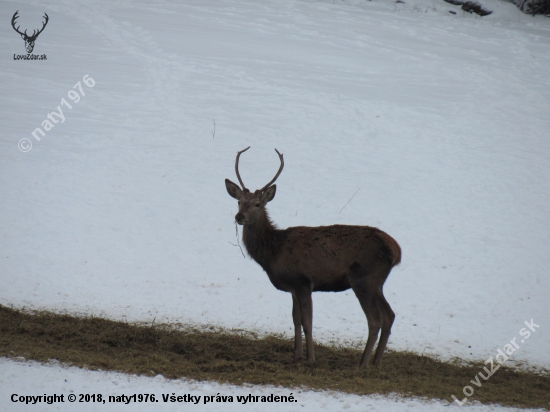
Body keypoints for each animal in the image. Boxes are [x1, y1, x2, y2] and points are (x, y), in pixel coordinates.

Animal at [226, 147, 404, 366]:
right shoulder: (292, 286)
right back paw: (376, 363)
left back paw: (362, 364)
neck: (274, 251)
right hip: (377, 283)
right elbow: (295, 319)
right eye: (239, 202)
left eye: (258, 204)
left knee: (375, 319)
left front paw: (310, 359)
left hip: (364, 279)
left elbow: (307, 322)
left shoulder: (303, 281)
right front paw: (295, 356)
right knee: (389, 315)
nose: (239, 216)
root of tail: (396, 251)